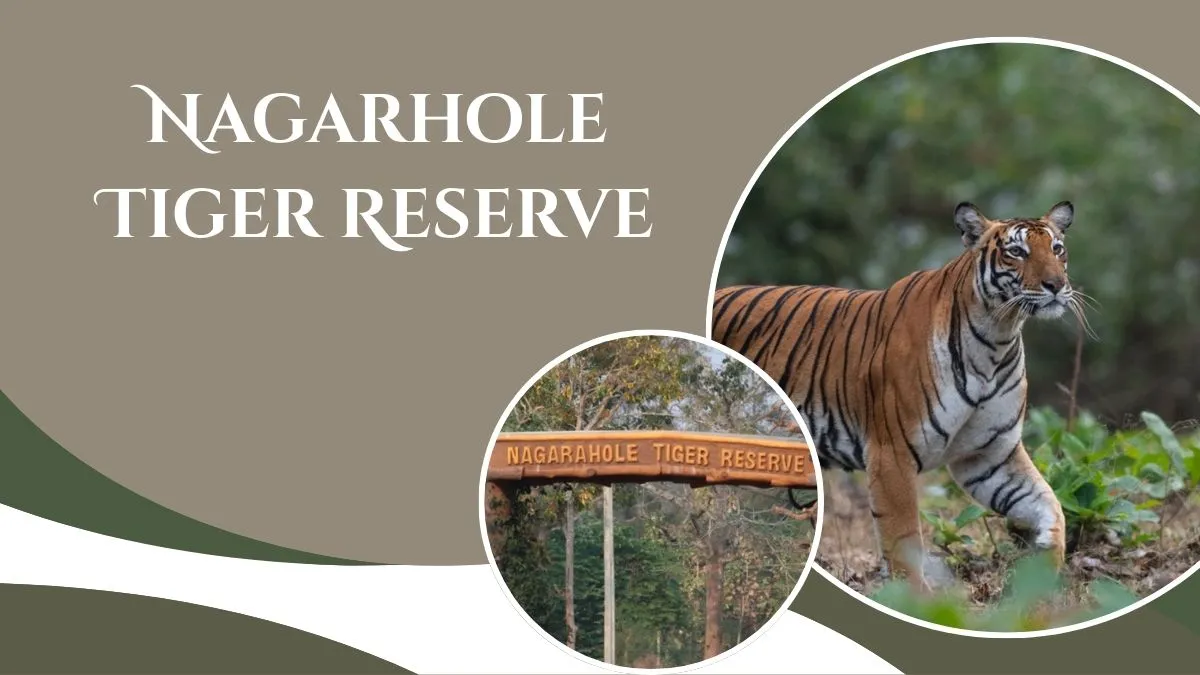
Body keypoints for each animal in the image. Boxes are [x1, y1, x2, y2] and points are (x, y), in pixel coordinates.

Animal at [710, 201, 1079, 588]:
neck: (997, 337)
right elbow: (904, 540)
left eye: (1057, 249)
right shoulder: (892, 455)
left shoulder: (990, 456)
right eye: (1017, 252)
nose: (1056, 285)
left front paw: (1044, 574)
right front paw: (917, 597)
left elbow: (1048, 504)